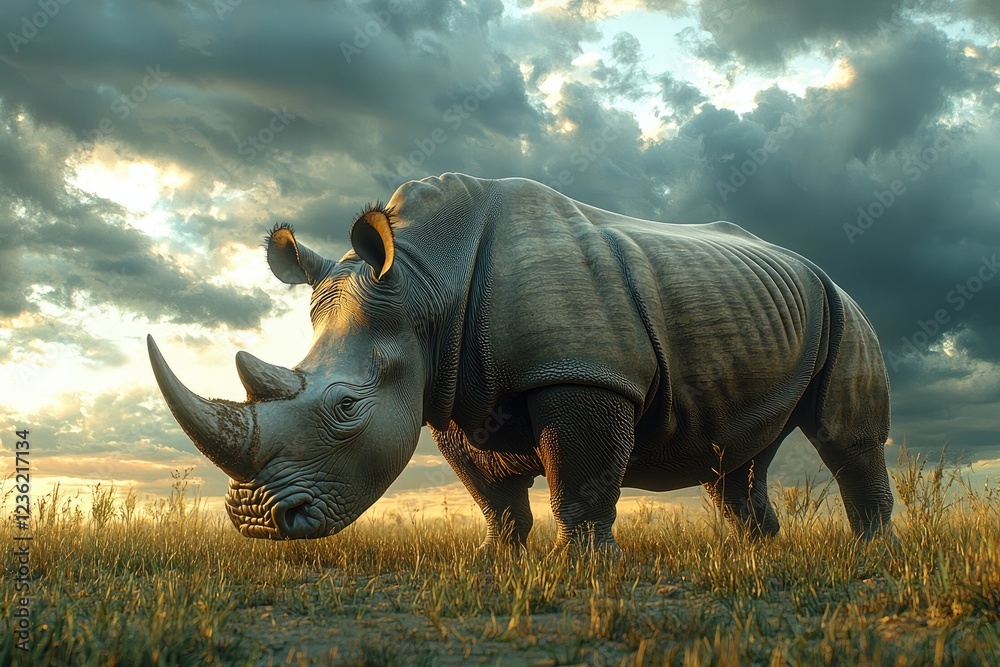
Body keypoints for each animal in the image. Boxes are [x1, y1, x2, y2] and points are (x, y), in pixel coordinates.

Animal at [148, 173, 894, 550]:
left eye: (346, 406)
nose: (254, 520)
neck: (423, 282)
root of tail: (813, 265)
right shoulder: (446, 390)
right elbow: (494, 494)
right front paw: (496, 563)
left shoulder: (582, 370)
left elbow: (580, 480)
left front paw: (583, 569)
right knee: (736, 459)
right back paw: (756, 557)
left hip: (844, 306)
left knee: (844, 438)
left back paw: (870, 555)